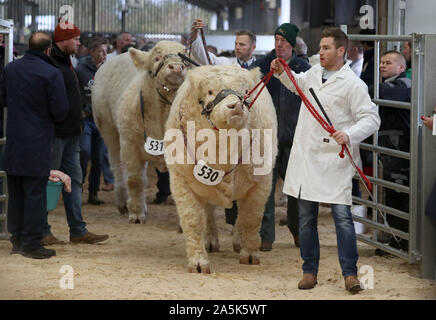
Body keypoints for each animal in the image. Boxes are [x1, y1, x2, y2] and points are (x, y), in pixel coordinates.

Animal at [92, 41, 187, 224]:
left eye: (184, 57)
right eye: (157, 57)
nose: (176, 67)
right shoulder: (130, 145)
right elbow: (135, 180)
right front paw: (136, 215)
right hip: (109, 130)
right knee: (118, 166)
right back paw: (123, 202)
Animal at [164, 65, 276, 272]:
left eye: (246, 91)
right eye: (210, 91)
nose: (236, 106)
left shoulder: (261, 183)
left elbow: (251, 218)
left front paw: (250, 255)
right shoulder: (181, 180)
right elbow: (193, 219)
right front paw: (198, 262)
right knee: (208, 212)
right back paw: (210, 241)